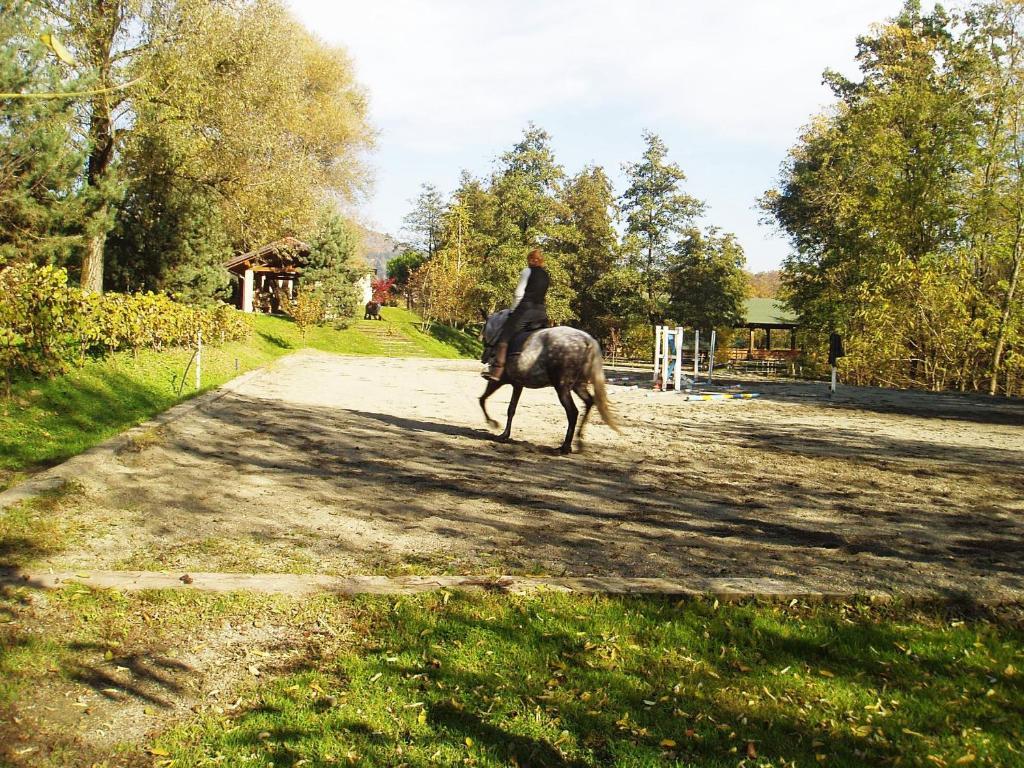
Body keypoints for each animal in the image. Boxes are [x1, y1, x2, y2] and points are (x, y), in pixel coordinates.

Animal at [477, 309, 614, 454]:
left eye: (484, 330)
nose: (484, 357)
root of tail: (586, 340)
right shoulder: (517, 385)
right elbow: (511, 409)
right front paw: (504, 435)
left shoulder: (498, 381)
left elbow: (483, 399)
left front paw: (493, 423)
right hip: (578, 385)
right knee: (588, 402)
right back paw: (578, 442)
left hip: (562, 387)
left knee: (572, 412)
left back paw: (565, 446)